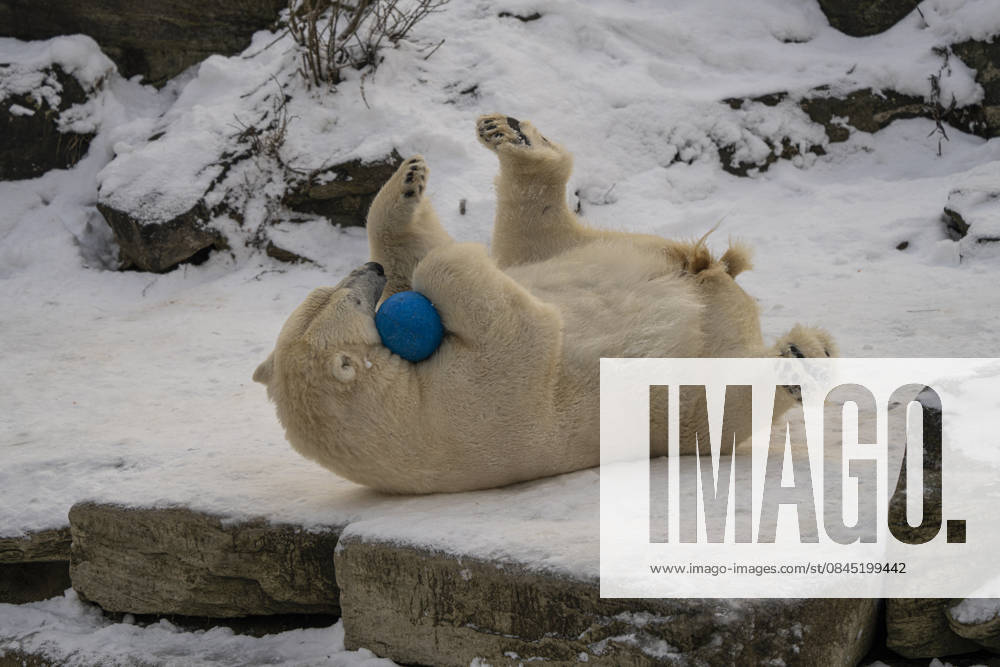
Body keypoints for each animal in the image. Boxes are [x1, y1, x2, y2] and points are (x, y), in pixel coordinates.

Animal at [253, 114, 835, 494]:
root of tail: (716, 277)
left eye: (326, 294)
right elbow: (522, 327)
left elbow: (412, 262)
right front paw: (450, 261)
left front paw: (409, 181)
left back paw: (509, 135)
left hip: (584, 249)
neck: (392, 414)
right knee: (733, 396)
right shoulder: (468, 405)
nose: (364, 273)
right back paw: (805, 356)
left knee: (538, 227)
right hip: (688, 397)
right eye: (347, 297)